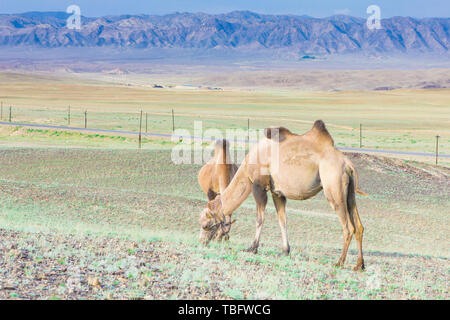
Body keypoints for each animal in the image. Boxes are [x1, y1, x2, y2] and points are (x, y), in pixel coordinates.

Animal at [200, 120, 370, 270]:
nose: (202, 241)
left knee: (348, 227)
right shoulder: (277, 192)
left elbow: (260, 219)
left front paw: (252, 248)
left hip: (334, 188)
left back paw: (339, 262)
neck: (247, 168)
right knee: (359, 226)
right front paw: (285, 251)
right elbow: (283, 220)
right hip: (349, 193)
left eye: (206, 225)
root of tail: (348, 164)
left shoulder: (259, 186)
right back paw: (359, 265)